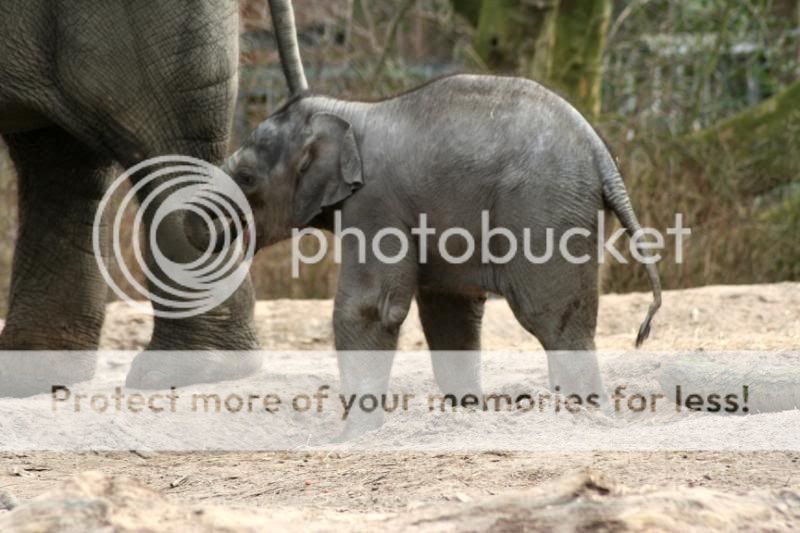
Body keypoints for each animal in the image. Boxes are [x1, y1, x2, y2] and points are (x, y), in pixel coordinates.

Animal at [184, 75, 660, 440]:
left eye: (246, 178)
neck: (346, 114)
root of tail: (602, 157)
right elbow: (448, 314)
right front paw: (467, 415)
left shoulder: (374, 205)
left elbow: (368, 309)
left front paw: (353, 438)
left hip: (544, 208)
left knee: (553, 321)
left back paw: (586, 418)